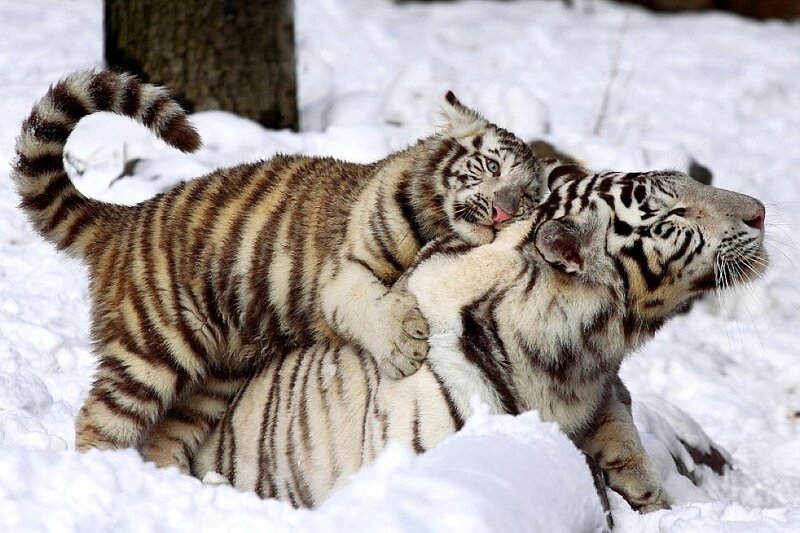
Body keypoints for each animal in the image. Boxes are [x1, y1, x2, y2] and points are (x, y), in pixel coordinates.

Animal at [10, 70, 548, 465]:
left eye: (529, 197)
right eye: (493, 167)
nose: (505, 211)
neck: (434, 222)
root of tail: (125, 216)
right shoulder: (343, 271)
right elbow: (369, 303)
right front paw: (404, 348)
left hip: (214, 378)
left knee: (165, 434)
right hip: (149, 347)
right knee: (99, 420)